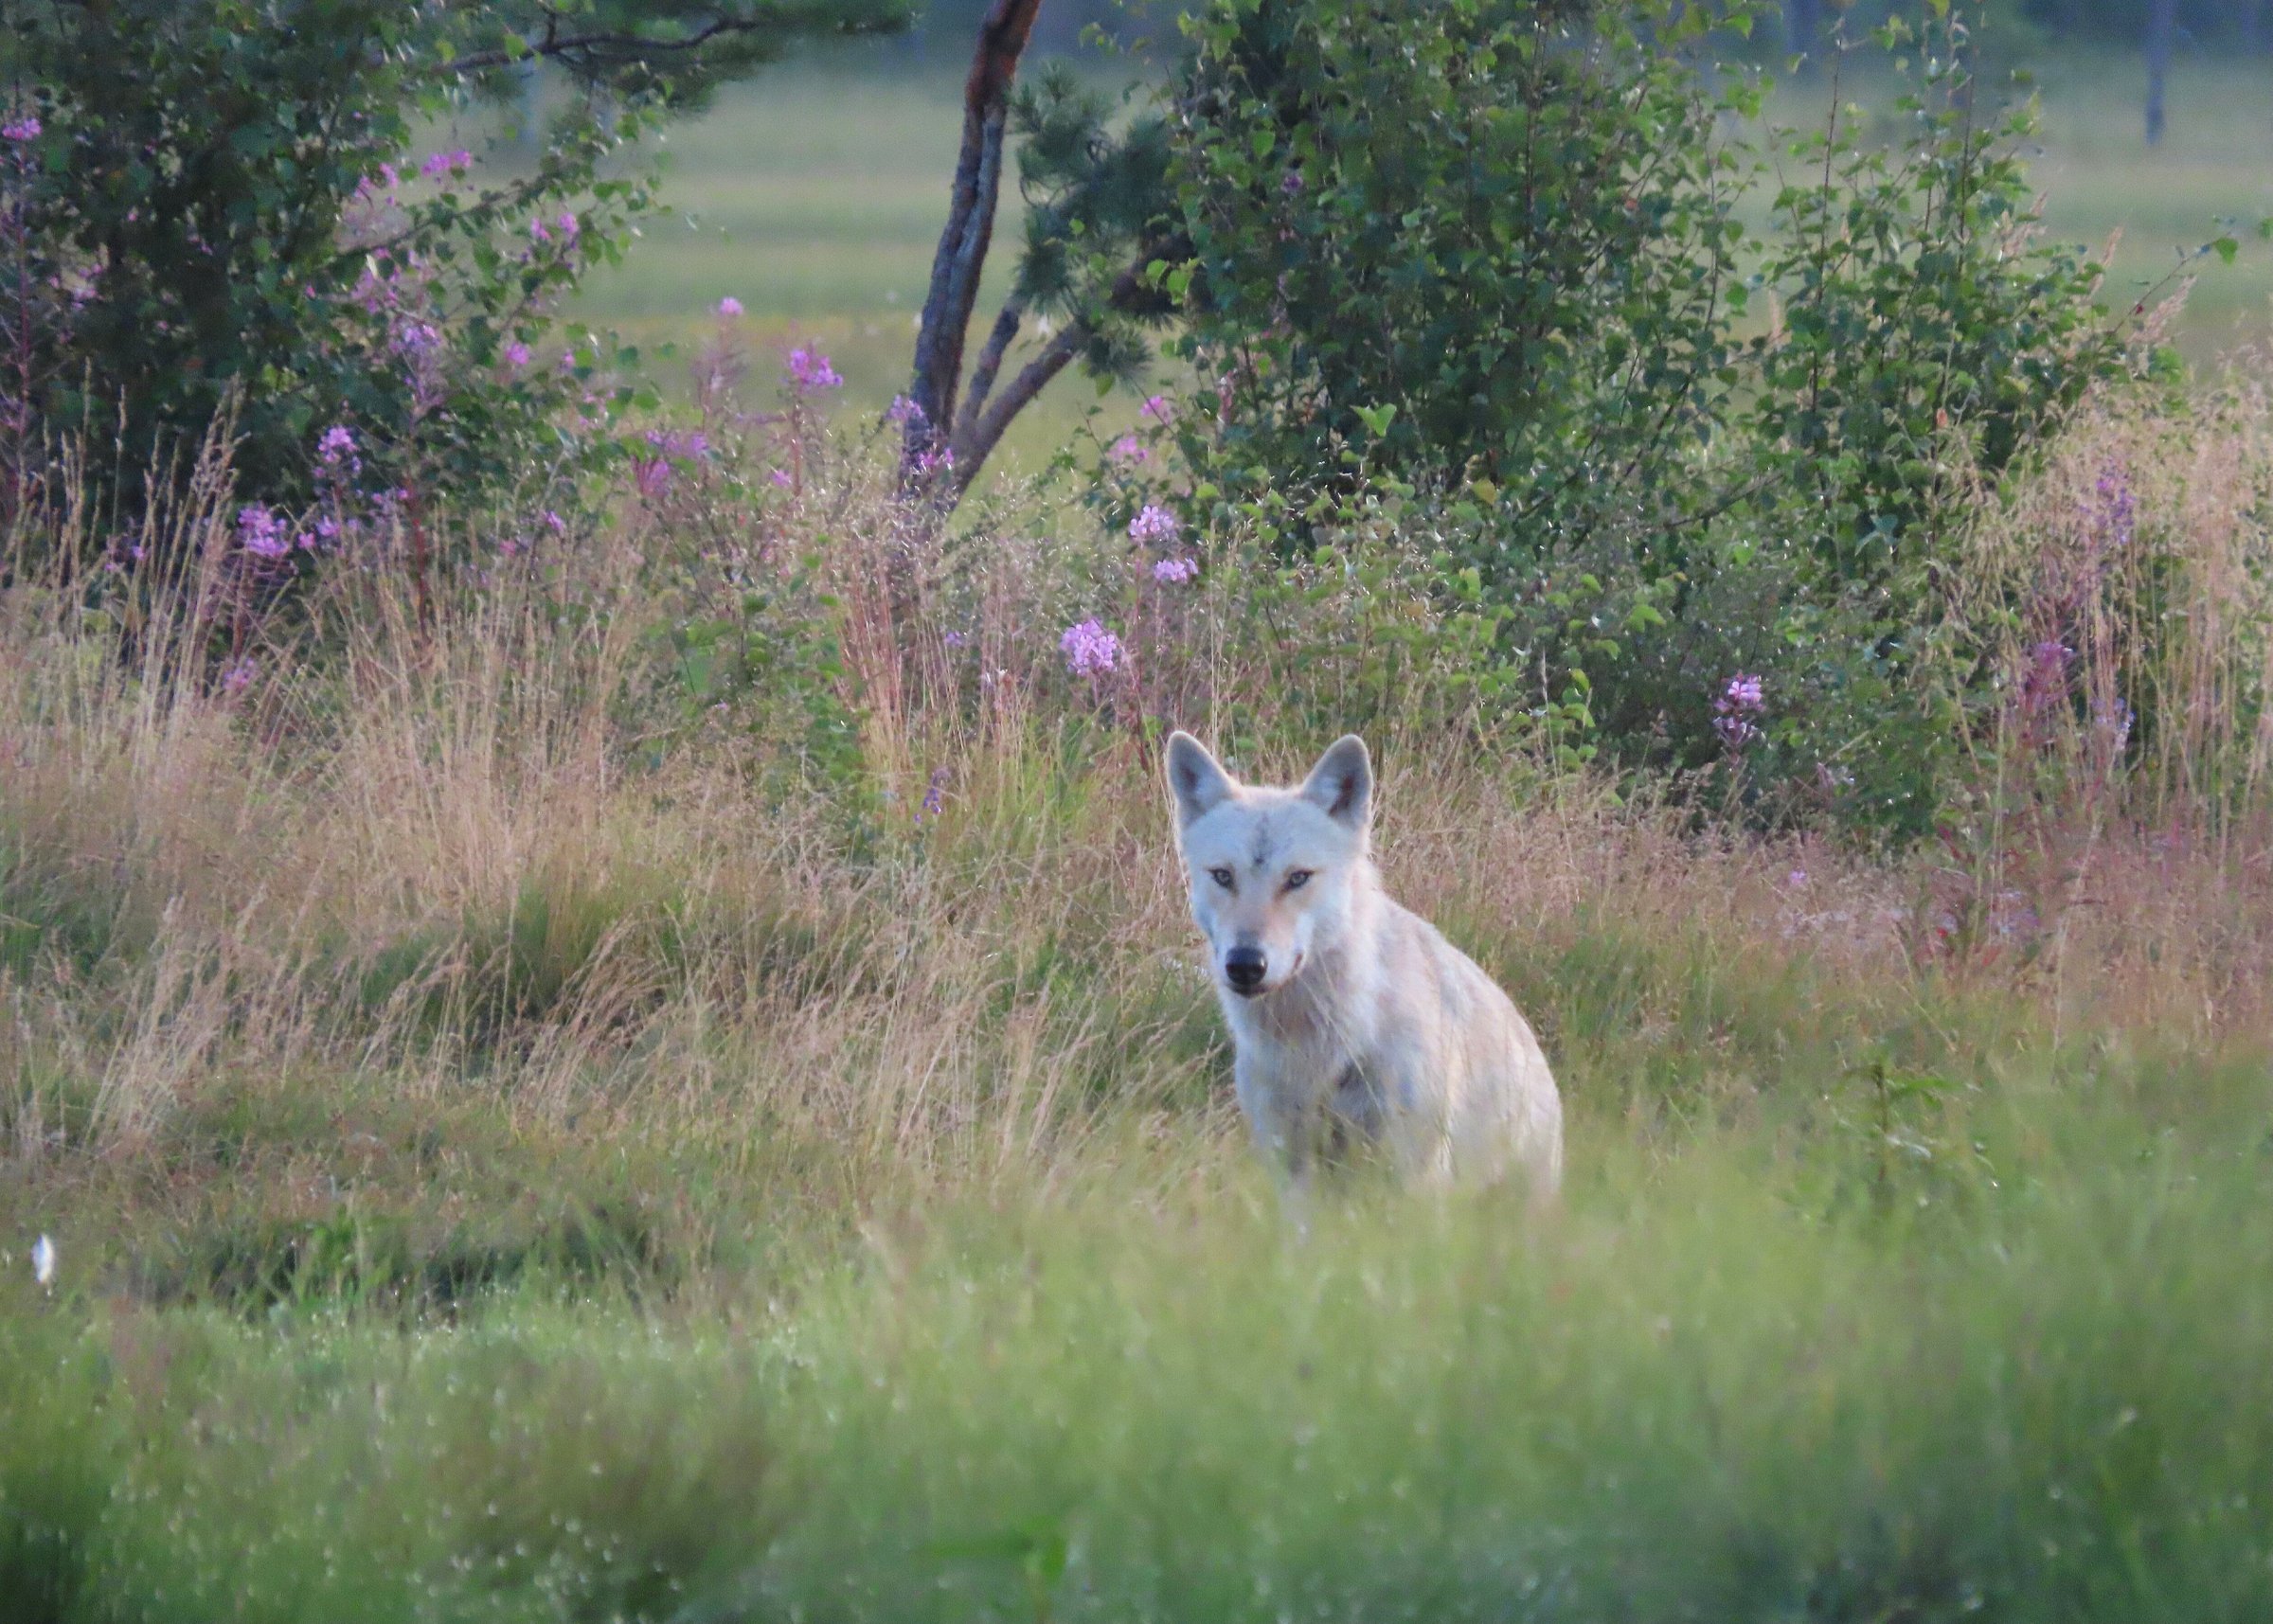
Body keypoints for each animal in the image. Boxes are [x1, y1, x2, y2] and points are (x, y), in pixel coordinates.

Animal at [1172, 731, 1564, 1199]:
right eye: (1223, 876)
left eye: (1298, 878)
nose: (1246, 964)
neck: (1317, 1046)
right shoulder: (1291, 1170)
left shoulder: (1414, 1172)